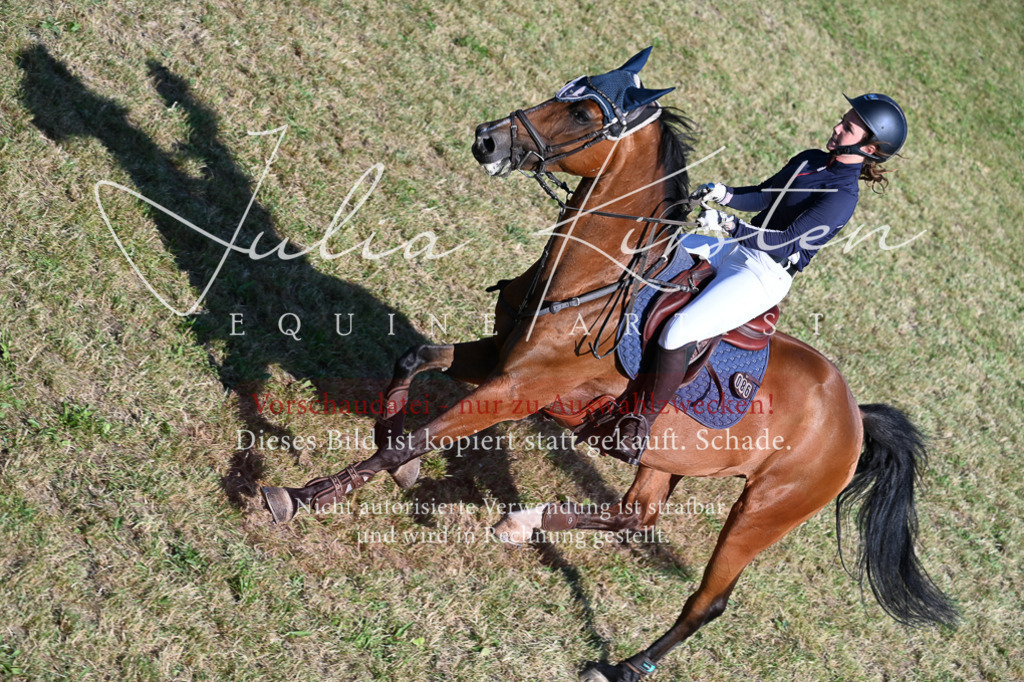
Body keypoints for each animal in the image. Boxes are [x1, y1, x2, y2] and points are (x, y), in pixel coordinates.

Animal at [261, 50, 957, 681]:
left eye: (579, 111)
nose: (487, 138)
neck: (591, 278)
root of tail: (854, 415)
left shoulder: (520, 387)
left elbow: (418, 435)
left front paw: (300, 495)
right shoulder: (501, 359)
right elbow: (413, 363)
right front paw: (396, 465)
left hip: (766, 508)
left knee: (709, 598)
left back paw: (620, 664)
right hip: (666, 459)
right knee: (635, 515)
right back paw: (525, 524)